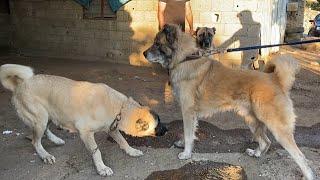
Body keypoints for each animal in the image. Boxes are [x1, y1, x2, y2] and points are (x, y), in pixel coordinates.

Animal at [0, 64, 168, 176]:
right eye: (158, 125)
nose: (167, 130)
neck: (121, 108)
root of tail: (20, 85)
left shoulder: (112, 128)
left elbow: (123, 141)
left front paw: (131, 151)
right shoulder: (85, 132)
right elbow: (96, 151)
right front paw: (101, 168)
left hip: (48, 115)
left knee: (45, 132)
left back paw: (56, 140)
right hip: (40, 118)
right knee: (35, 141)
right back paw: (45, 155)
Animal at [144, 24, 314, 180]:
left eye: (157, 43)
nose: (144, 53)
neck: (184, 59)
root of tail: (275, 79)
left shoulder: (187, 111)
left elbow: (187, 133)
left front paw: (186, 153)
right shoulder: (192, 114)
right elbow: (190, 133)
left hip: (277, 127)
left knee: (300, 157)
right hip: (252, 120)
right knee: (266, 142)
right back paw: (256, 153)